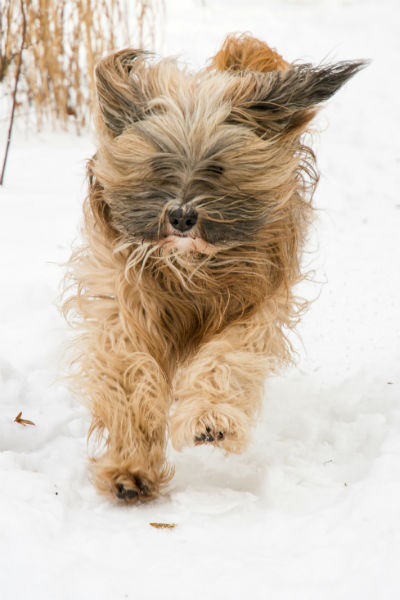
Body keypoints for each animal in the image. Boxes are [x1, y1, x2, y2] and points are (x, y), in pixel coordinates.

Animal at [63, 32, 366, 502]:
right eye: (158, 164)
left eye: (219, 167)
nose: (182, 217)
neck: (192, 269)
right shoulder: (125, 305)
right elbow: (129, 373)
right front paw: (130, 468)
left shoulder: (255, 307)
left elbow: (227, 359)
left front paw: (211, 421)